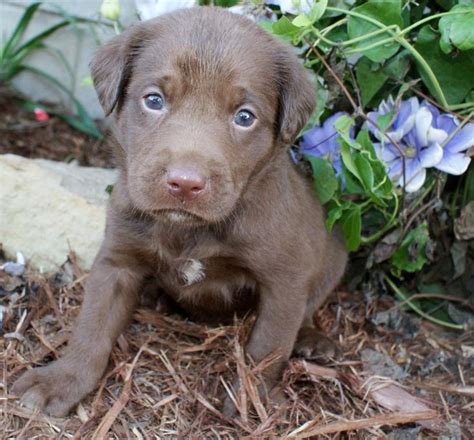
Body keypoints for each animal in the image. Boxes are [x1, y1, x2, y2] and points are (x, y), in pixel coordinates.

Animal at [12, 6, 346, 416]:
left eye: (245, 117)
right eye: (154, 100)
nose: (185, 183)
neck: (190, 230)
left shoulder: (285, 279)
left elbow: (268, 345)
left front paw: (253, 399)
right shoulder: (117, 259)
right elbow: (92, 326)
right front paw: (62, 379)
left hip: (333, 256)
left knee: (311, 305)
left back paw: (313, 339)